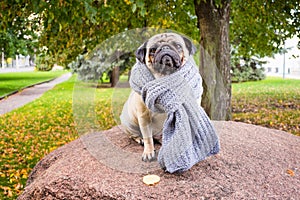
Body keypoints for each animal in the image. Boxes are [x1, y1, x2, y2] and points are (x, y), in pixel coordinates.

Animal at [120, 32, 198, 161]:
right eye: (152, 50)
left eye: (178, 46)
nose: (165, 48)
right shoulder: (144, 116)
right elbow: (148, 138)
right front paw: (148, 152)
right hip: (130, 124)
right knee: (135, 135)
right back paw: (139, 139)